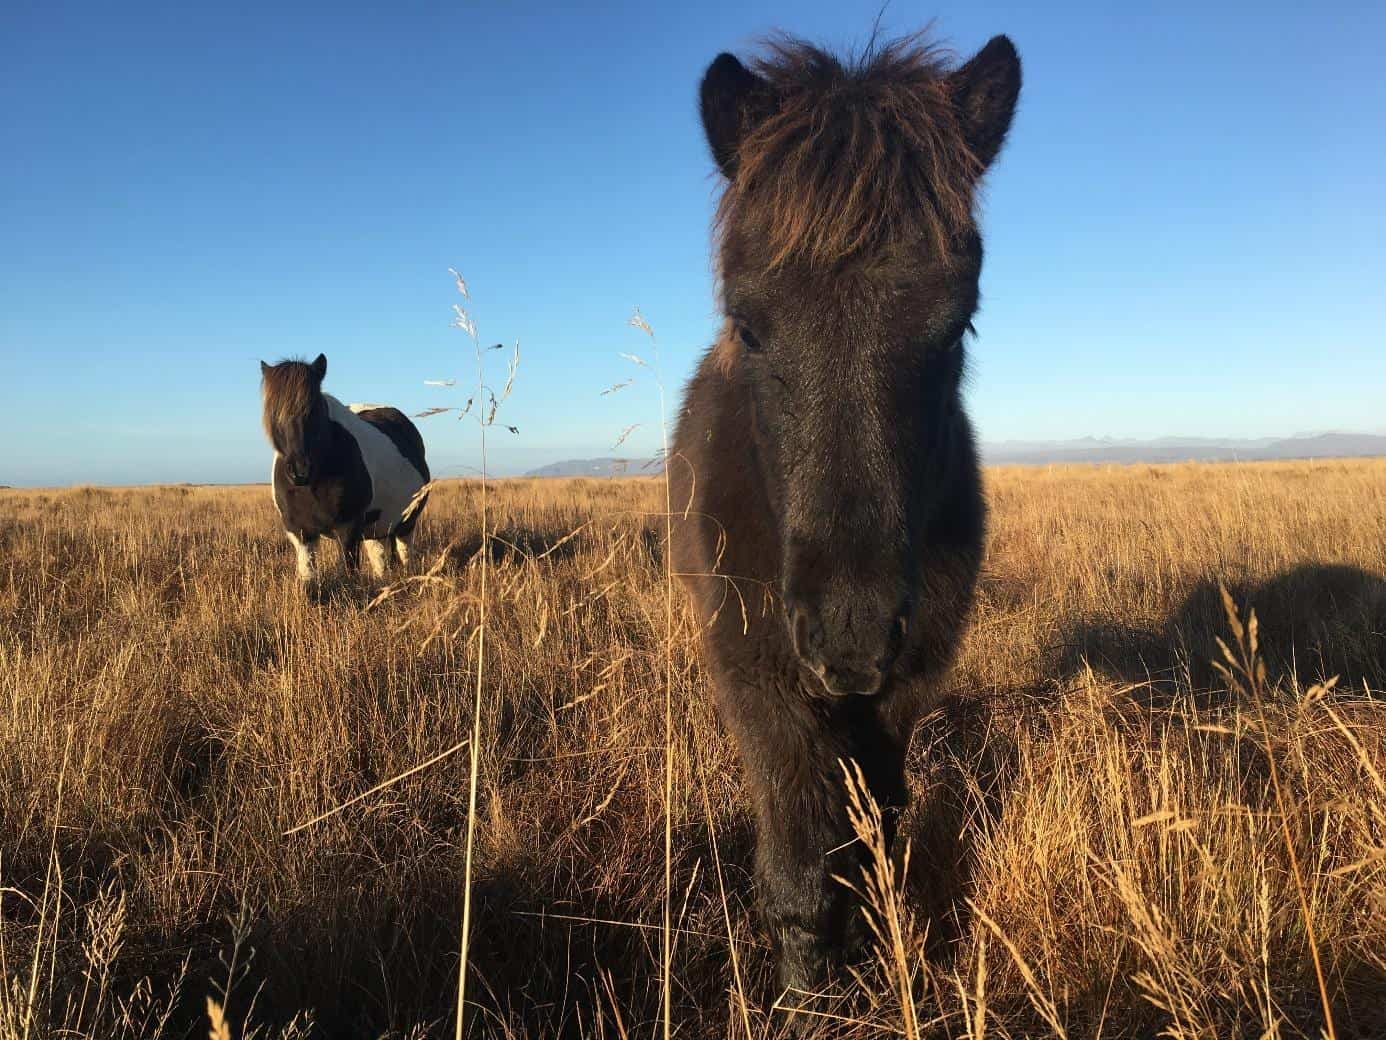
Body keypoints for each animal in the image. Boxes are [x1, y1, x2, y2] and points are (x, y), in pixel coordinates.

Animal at [260, 353, 430, 588]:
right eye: (274, 412)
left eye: (313, 410)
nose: (299, 471)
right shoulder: (300, 532)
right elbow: (308, 578)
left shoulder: (348, 528)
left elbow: (347, 574)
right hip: (377, 527)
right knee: (380, 557)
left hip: (406, 522)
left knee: (405, 552)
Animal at [669, 32, 1021, 1006]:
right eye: (748, 324)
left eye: (958, 324)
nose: (850, 637)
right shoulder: (761, 679)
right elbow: (797, 866)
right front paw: (803, 999)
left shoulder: (905, 683)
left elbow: (876, 836)